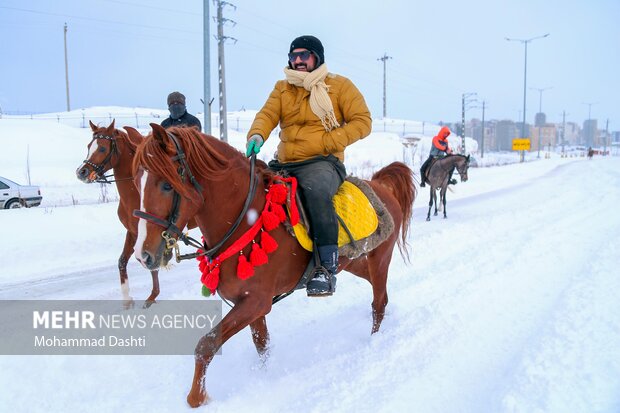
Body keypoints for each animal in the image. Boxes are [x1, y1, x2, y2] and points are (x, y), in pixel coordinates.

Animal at [75, 119, 165, 306]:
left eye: (102, 148)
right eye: (89, 146)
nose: (81, 172)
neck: (136, 193)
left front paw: (152, 296)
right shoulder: (133, 232)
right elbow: (122, 261)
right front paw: (127, 299)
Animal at [131, 124, 416, 408]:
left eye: (167, 185)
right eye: (136, 184)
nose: (143, 255)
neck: (244, 221)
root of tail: (380, 184)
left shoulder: (256, 301)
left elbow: (206, 345)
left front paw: (196, 397)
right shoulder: (247, 303)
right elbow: (262, 344)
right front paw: (264, 376)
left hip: (380, 259)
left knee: (378, 303)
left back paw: (374, 340)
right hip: (353, 261)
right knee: (377, 290)